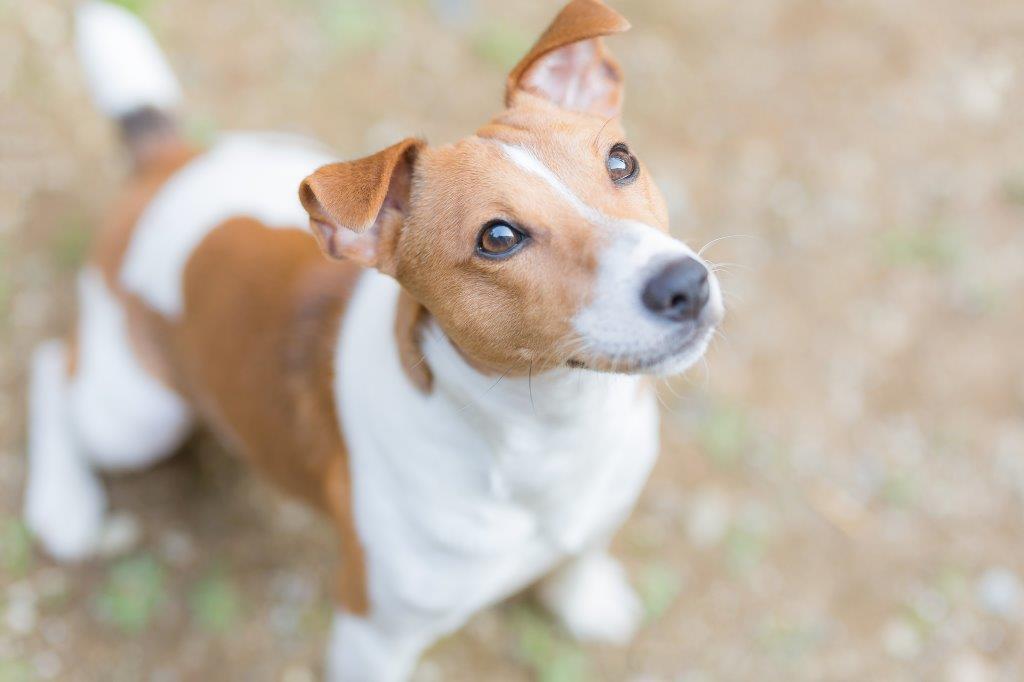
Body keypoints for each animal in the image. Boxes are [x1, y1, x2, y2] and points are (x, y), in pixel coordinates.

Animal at [24, 2, 724, 675]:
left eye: (621, 161)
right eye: (497, 238)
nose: (684, 284)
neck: (553, 430)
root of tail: (167, 163)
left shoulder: (607, 496)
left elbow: (583, 551)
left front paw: (586, 598)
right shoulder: (374, 635)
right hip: (139, 416)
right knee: (53, 366)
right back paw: (65, 504)